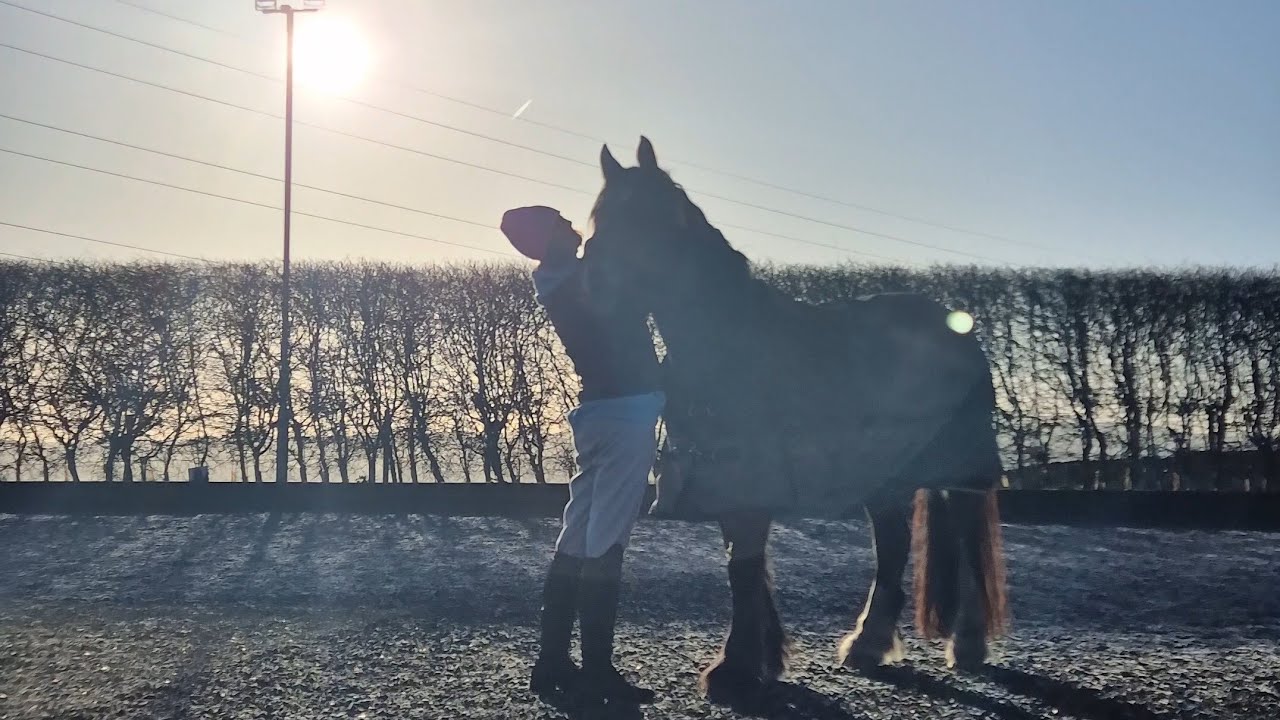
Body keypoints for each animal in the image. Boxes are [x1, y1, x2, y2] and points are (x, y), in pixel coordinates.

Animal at [579, 137, 1009, 703]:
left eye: (653, 218)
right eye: (598, 219)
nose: (594, 289)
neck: (725, 343)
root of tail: (955, 329)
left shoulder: (749, 479)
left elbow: (744, 569)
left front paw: (735, 669)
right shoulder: (726, 480)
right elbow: (745, 565)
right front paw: (763, 658)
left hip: (960, 473)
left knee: (964, 548)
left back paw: (967, 644)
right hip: (882, 473)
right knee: (893, 549)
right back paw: (868, 644)